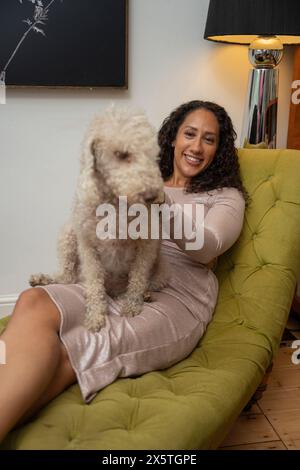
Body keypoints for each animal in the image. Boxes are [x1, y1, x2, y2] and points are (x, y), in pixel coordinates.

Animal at [29, 105, 166, 330]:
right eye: (122, 154)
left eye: (153, 156)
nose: (154, 196)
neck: (114, 203)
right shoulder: (87, 245)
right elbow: (94, 283)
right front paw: (95, 315)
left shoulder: (147, 244)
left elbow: (137, 277)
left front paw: (132, 305)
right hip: (69, 235)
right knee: (67, 277)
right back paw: (43, 279)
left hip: (160, 271)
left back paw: (144, 294)